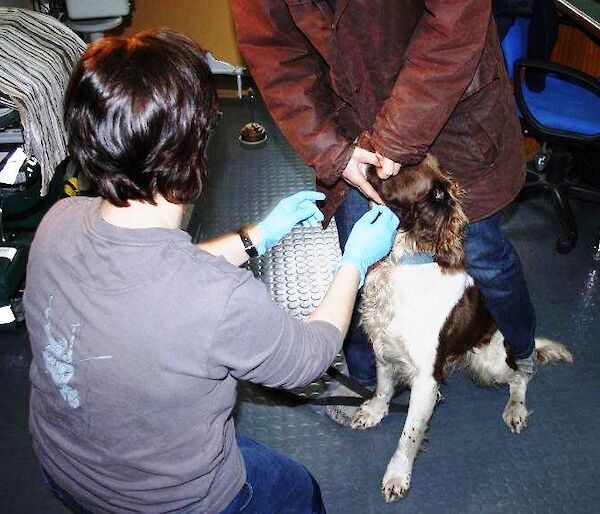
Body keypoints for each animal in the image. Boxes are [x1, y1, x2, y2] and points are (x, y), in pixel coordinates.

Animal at [354, 155, 576, 500]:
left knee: (522, 375)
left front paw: (397, 476)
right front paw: (374, 412)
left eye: (405, 164)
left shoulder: (426, 379)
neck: (403, 265)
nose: (363, 147)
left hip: (489, 362)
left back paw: (516, 409)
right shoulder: (384, 348)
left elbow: (408, 435)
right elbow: (383, 388)